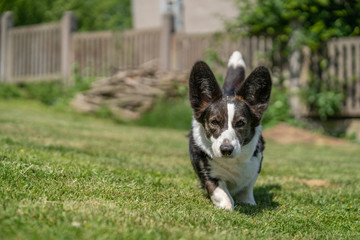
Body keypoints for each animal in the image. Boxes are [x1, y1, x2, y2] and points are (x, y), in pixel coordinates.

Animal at [188, 51, 270, 210]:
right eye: (214, 122)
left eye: (241, 123)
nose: (226, 149)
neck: (232, 162)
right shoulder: (208, 172)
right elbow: (222, 194)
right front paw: (227, 207)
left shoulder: (256, 165)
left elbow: (247, 187)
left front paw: (248, 202)